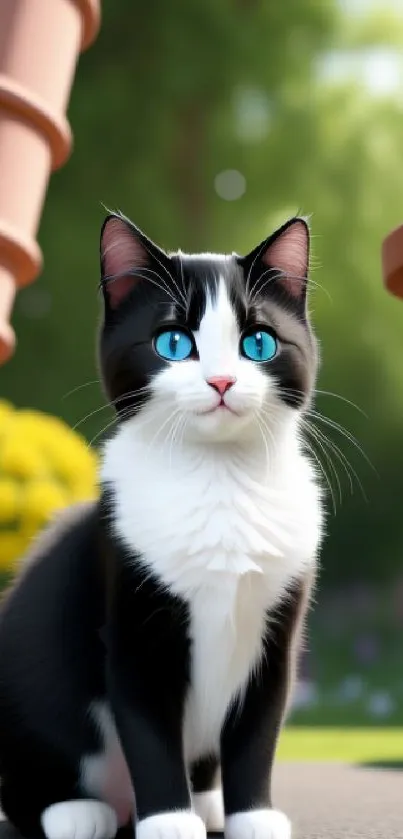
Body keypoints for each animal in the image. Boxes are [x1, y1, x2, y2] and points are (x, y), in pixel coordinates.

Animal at [0, 213, 324, 839]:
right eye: (174, 342)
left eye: (259, 342)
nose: (221, 382)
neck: (220, 482)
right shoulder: (132, 614)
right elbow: (149, 731)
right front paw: (170, 821)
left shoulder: (277, 630)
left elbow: (258, 732)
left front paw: (253, 815)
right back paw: (75, 810)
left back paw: (207, 799)